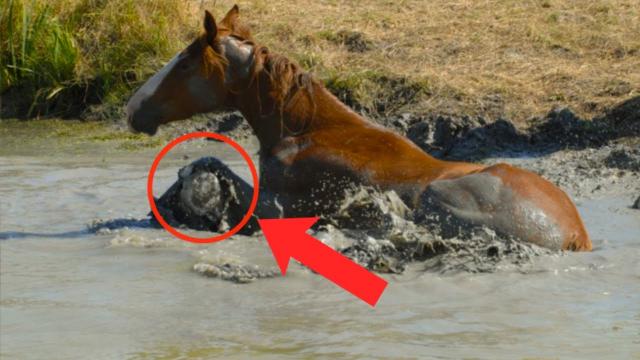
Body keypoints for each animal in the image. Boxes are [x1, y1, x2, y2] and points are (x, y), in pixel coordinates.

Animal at [127, 7, 592, 252]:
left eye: (185, 63)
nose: (133, 108)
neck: (305, 130)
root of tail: (575, 236)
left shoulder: (277, 208)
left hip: (438, 198)